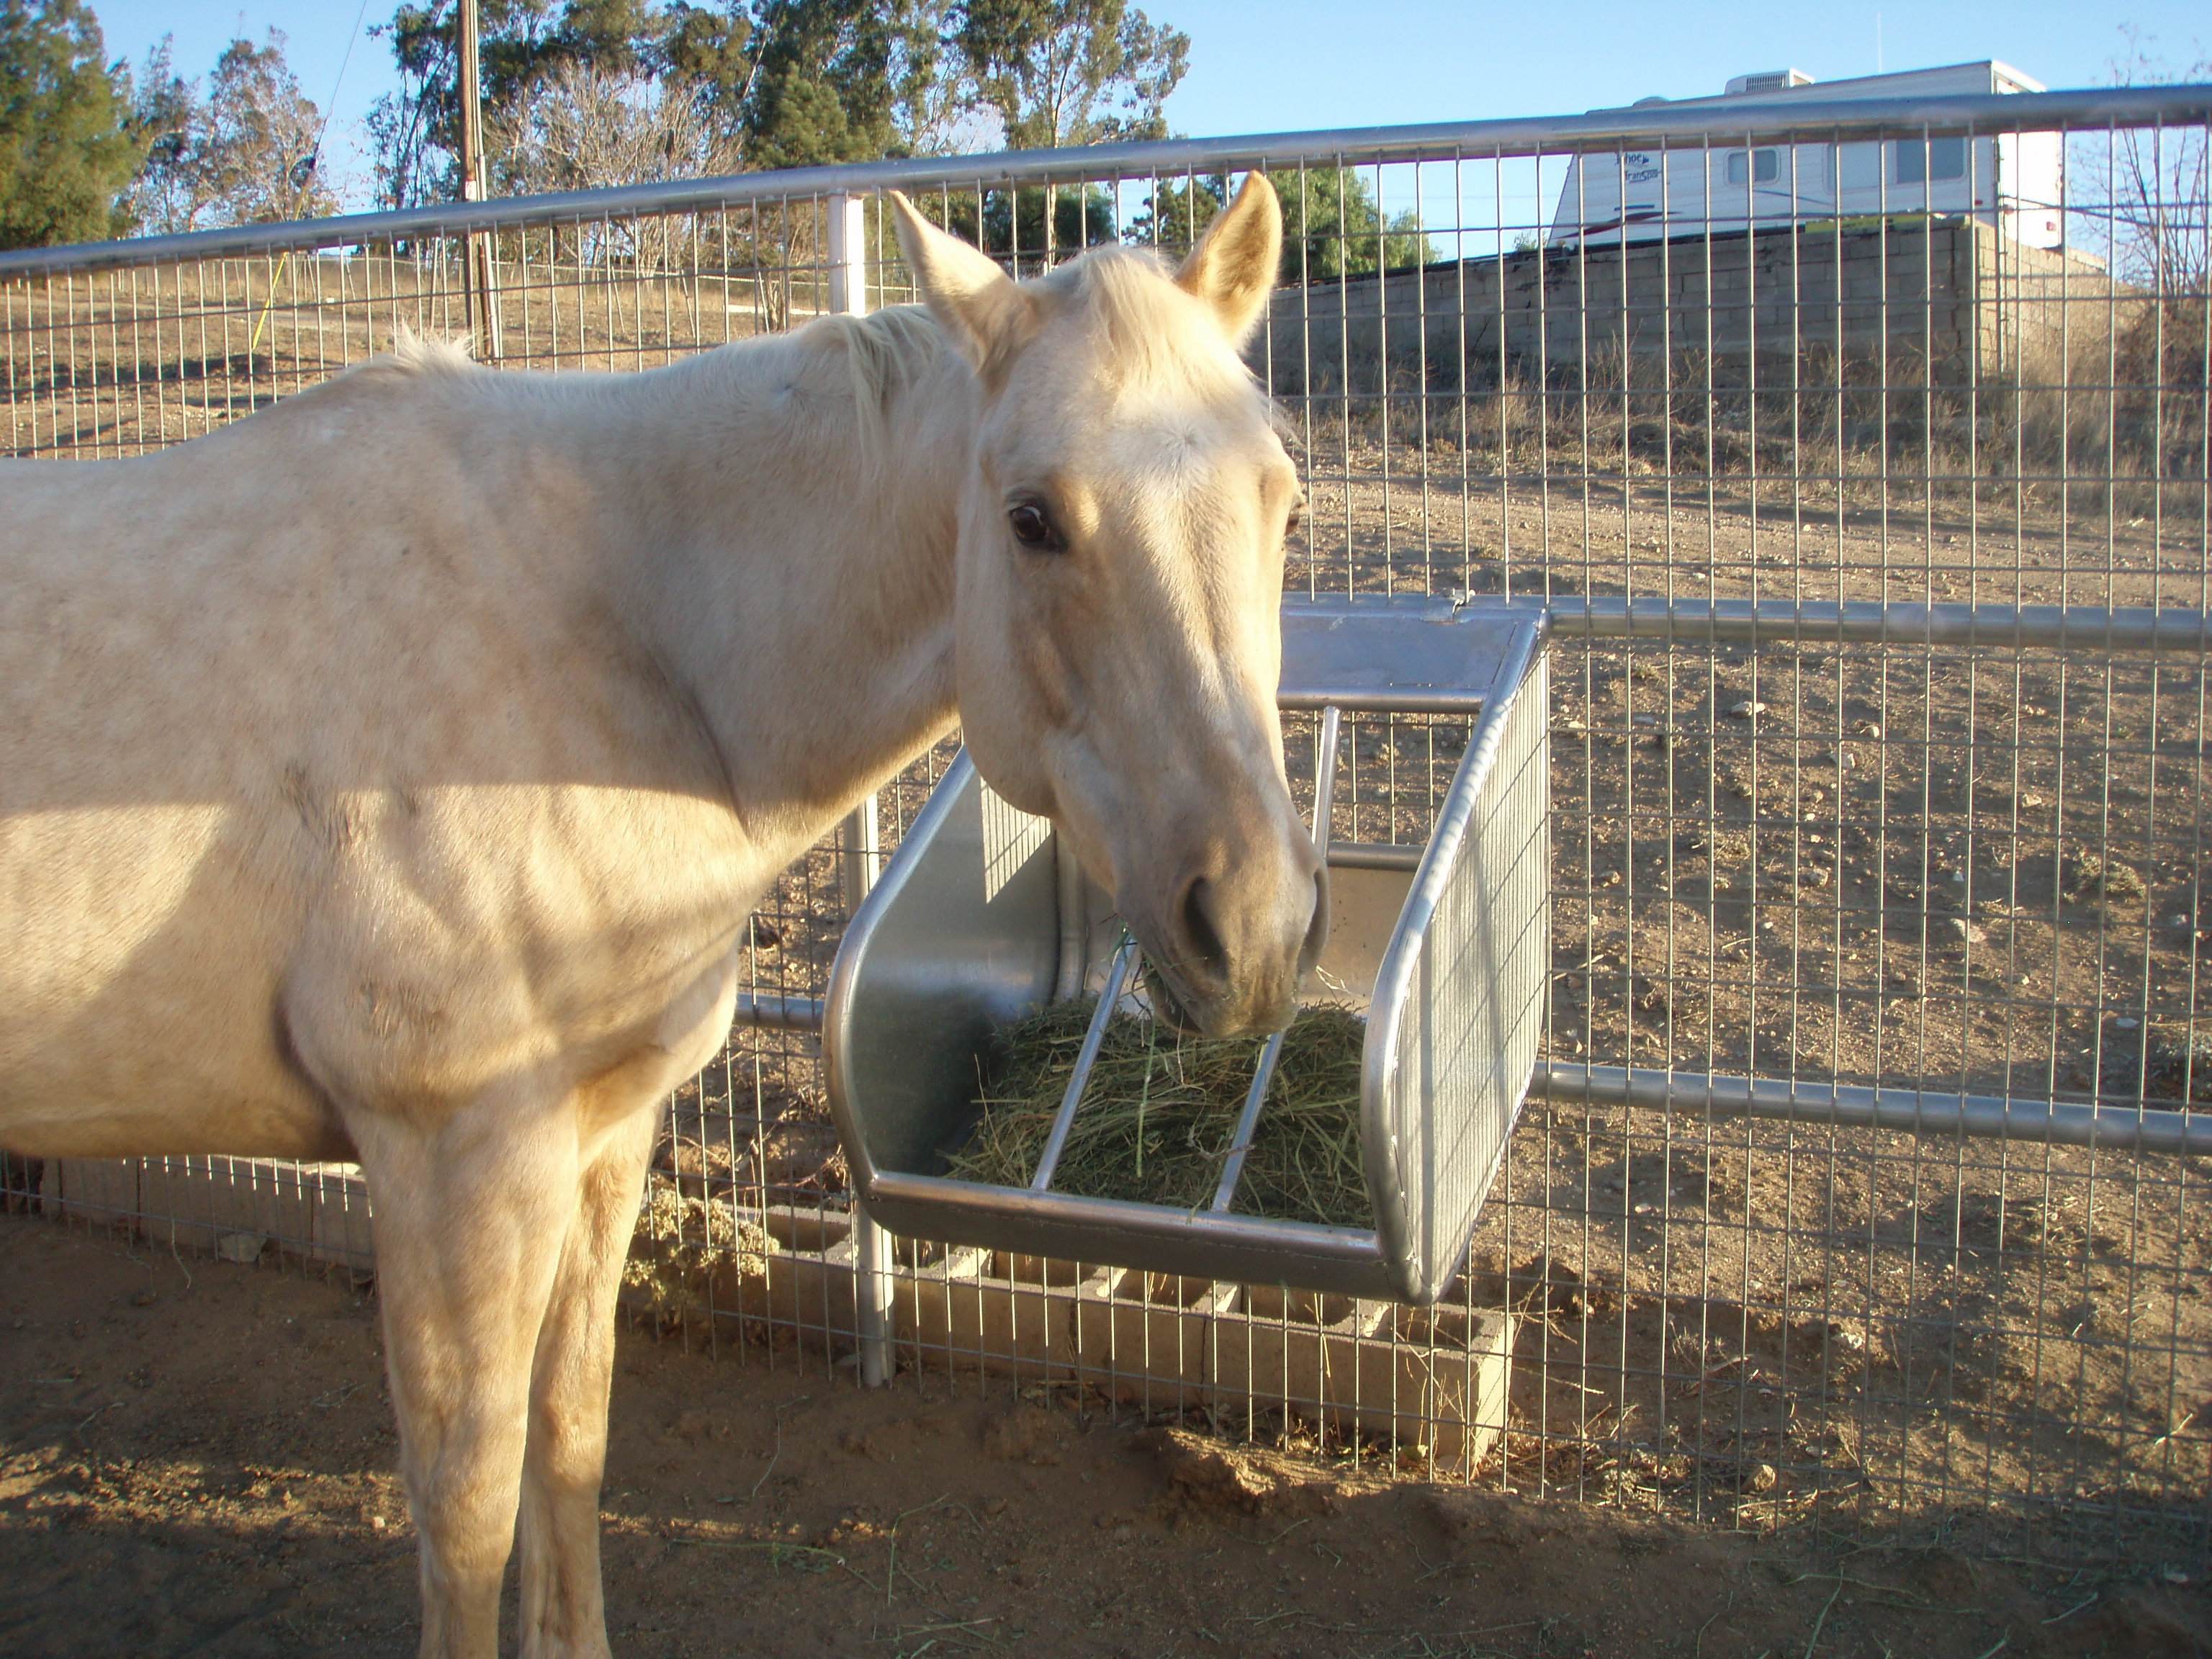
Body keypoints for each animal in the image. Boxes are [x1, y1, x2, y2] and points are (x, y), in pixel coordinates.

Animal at [0, 176, 1309, 1654]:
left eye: (1284, 499)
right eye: (1033, 517)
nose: (1255, 927)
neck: (616, 637)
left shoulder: (602, 1129)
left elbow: (570, 1435)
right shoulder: (449, 1158)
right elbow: (466, 1509)